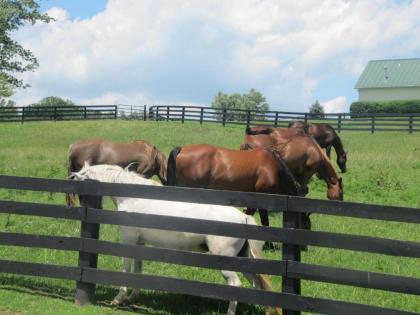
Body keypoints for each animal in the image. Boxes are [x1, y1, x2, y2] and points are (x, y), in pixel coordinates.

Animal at [69, 163, 282, 315]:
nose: (70, 177)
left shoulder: (129, 240)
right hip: (243, 260)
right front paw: (132, 298)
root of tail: (243, 217)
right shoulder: (139, 242)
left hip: (227, 262)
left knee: (235, 285)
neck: (134, 198)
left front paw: (119, 298)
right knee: (256, 284)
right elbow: (138, 269)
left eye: (84, 173)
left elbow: (126, 268)